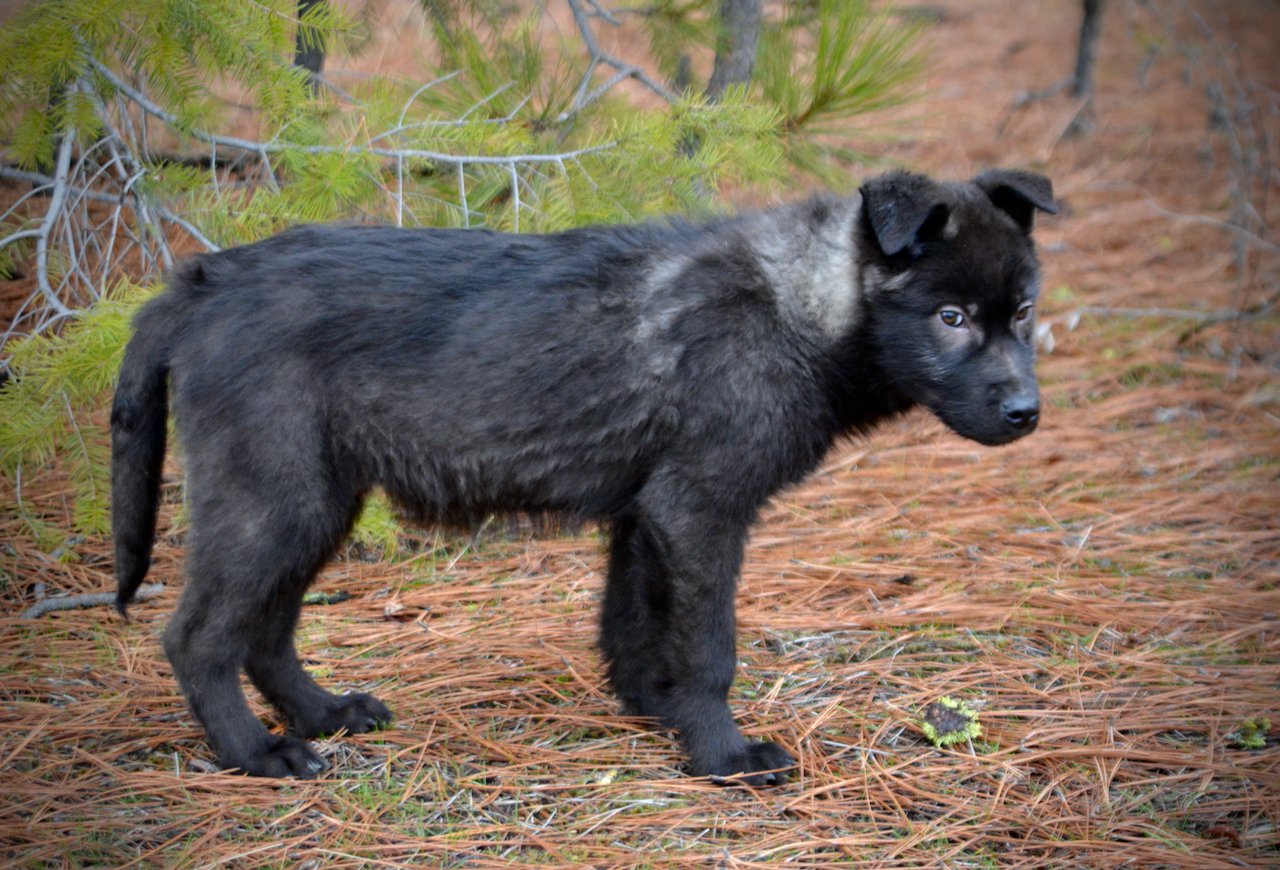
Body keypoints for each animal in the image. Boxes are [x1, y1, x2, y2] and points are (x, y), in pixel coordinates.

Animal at [112, 167, 1049, 783]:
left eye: (1024, 312)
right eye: (951, 317)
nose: (1027, 414)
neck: (795, 308)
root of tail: (201, 280)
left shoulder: (646, 517)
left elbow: (634, 631)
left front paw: (655, 716)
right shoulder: (698, 511)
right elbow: (709, 650)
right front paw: (723, 755)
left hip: (315, 504)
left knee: (265, 631)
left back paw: (323, 717)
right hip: (274, 503)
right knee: (198, 638)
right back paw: (258, 754)